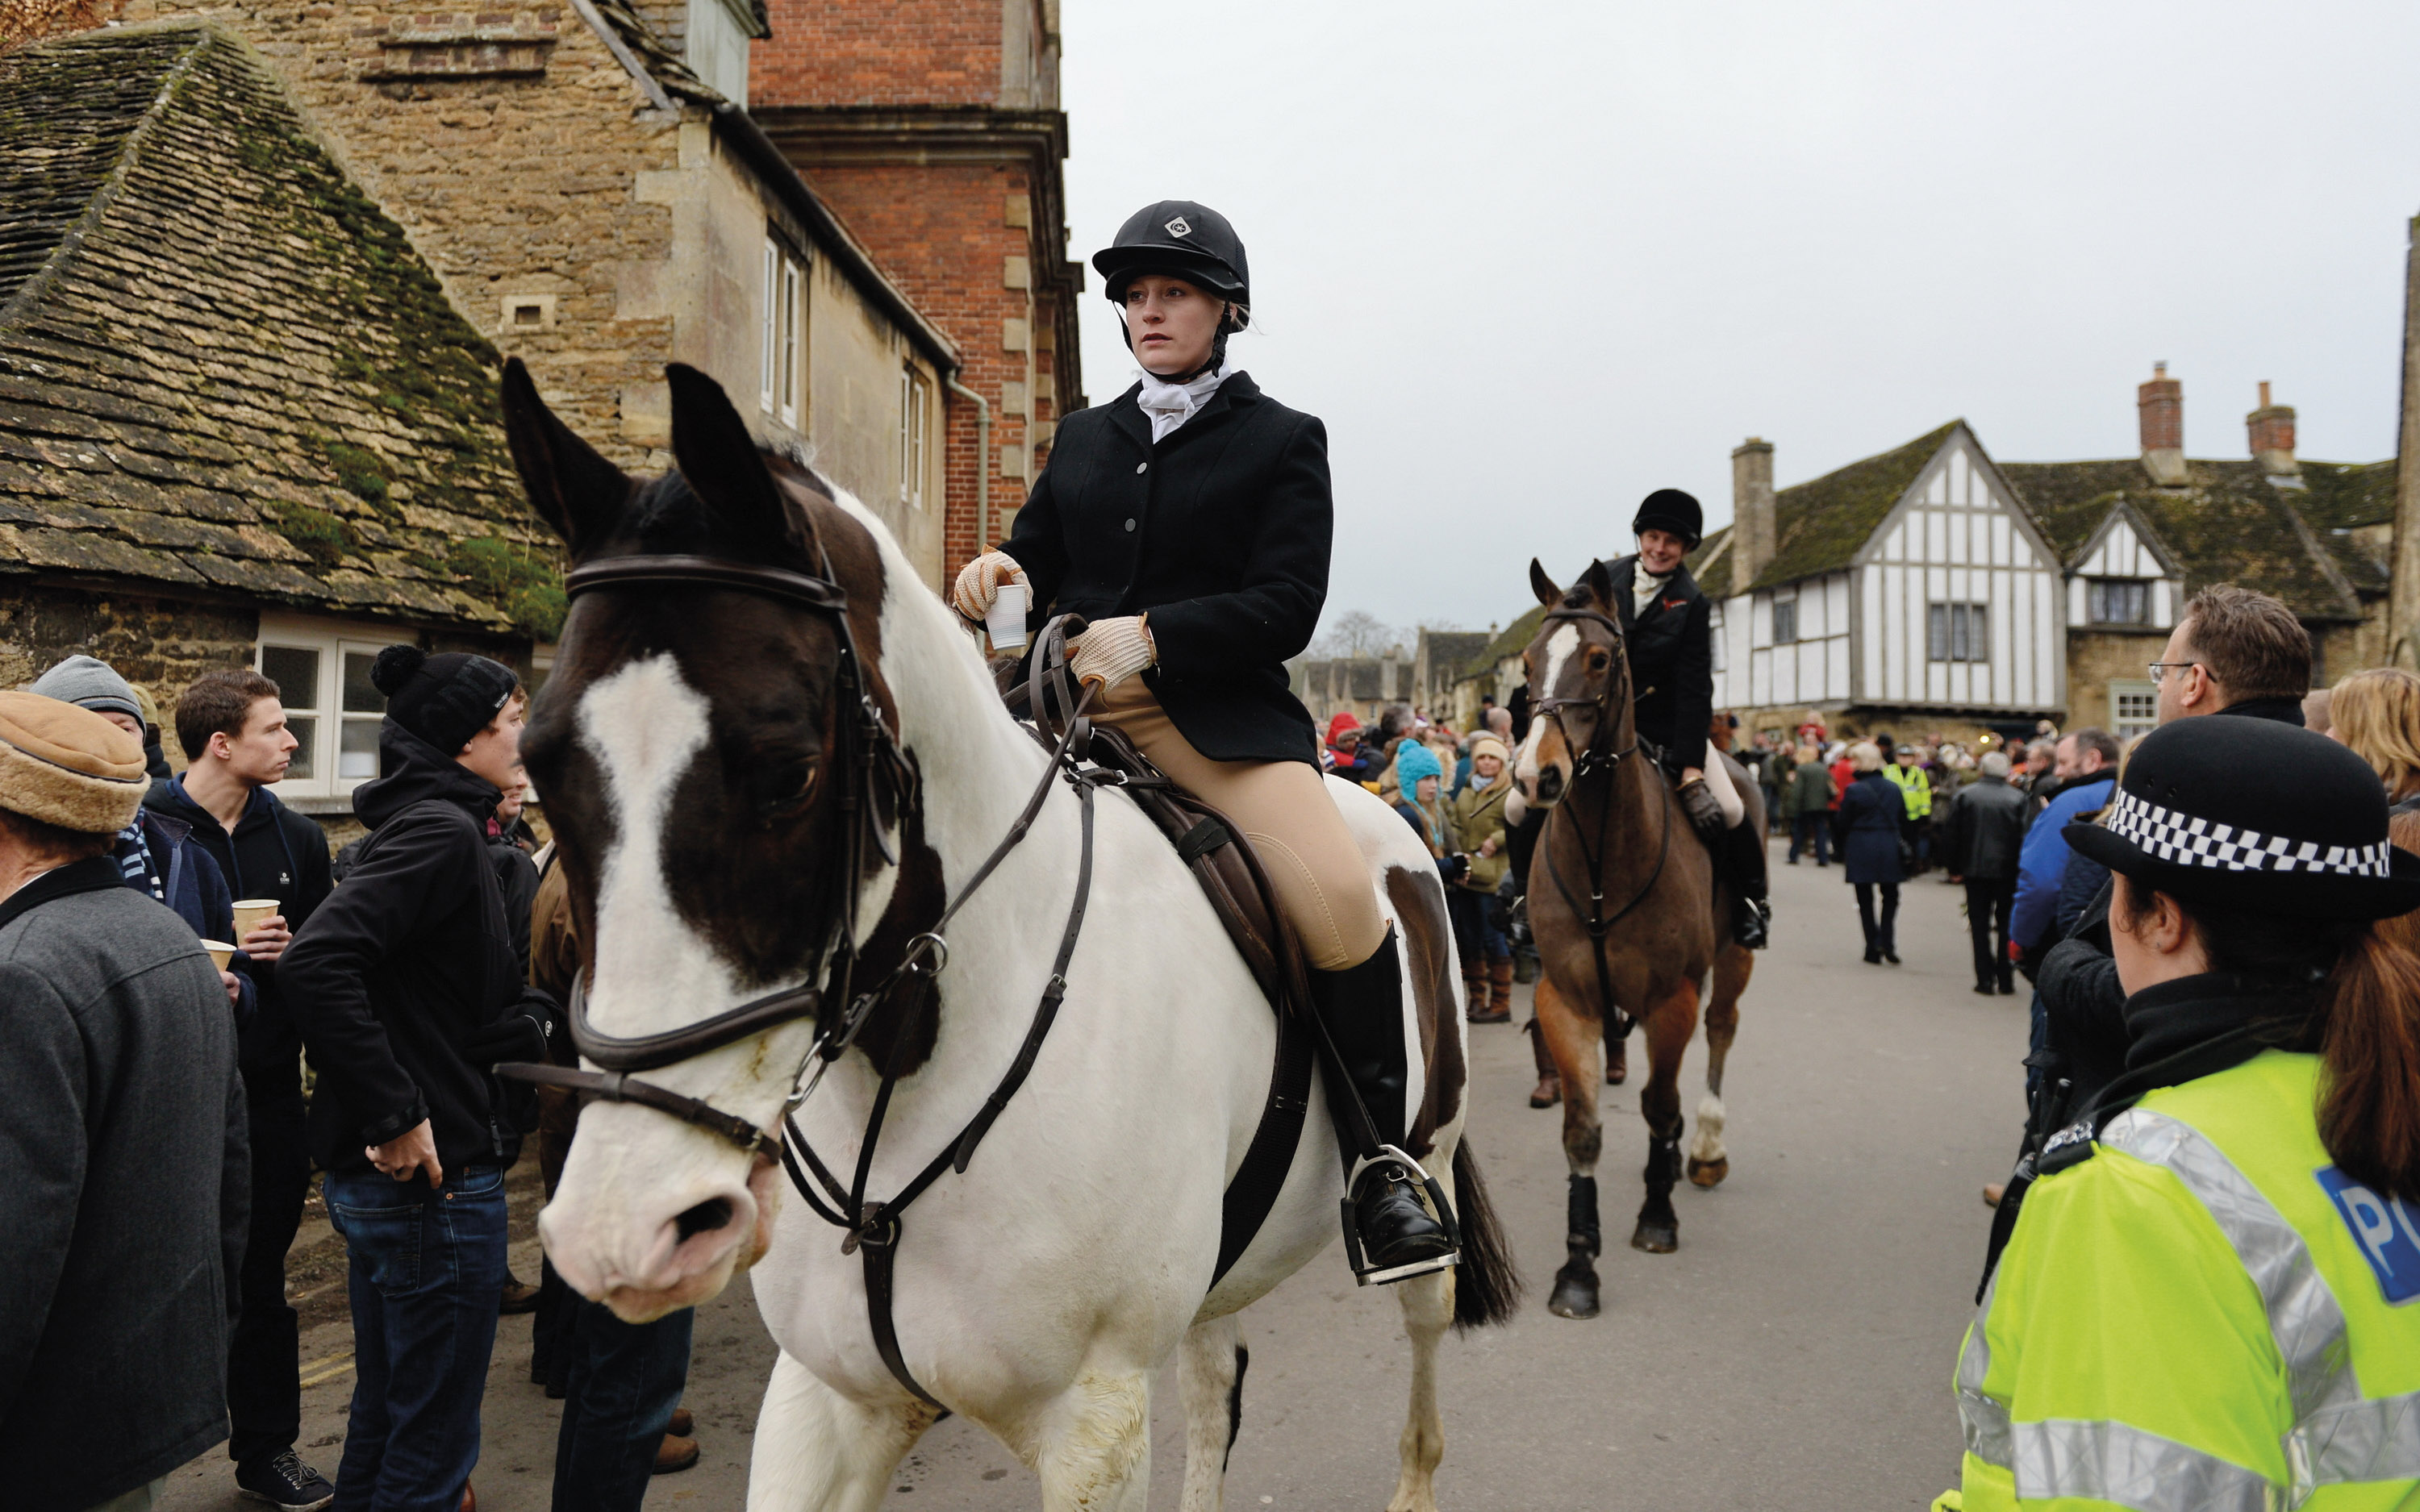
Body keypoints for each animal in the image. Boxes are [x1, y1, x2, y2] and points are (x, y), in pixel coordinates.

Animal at [494, 363, 1510, 1510]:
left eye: (789, 772)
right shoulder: (823, 1398)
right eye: (539, 763)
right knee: (1217, 1382)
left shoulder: (1095, 1423)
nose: (622, 1230)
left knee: (1421, 1351)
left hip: (1428, 1165)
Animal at [1510, 561, 1762, 1316]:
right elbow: (1583, 1129)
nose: (1536, 776)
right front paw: (1578, 1266)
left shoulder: (1669, 997)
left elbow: (1657, 1104)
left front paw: (1656, 1216)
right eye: (1528, 663)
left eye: (1598, 659)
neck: (1602, 857)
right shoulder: (1567, 1001)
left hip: (1732, 961)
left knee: (1718, 1034)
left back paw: (1703, 1148)